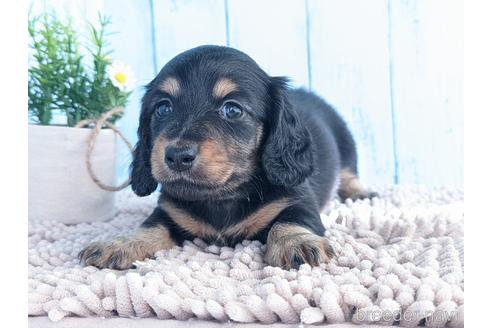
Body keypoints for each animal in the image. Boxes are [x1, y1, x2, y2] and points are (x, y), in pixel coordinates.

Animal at [80, 46, 372, 272]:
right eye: (163, 108)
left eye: (232, 109)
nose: (177, 156)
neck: (221, 197)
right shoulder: (169, 212)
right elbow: (150, 227)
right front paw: (121, 243)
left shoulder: (297, 199)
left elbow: (290, 221)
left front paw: (296, 242)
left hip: (347, 147)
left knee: (349, 174)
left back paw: (361, 192)